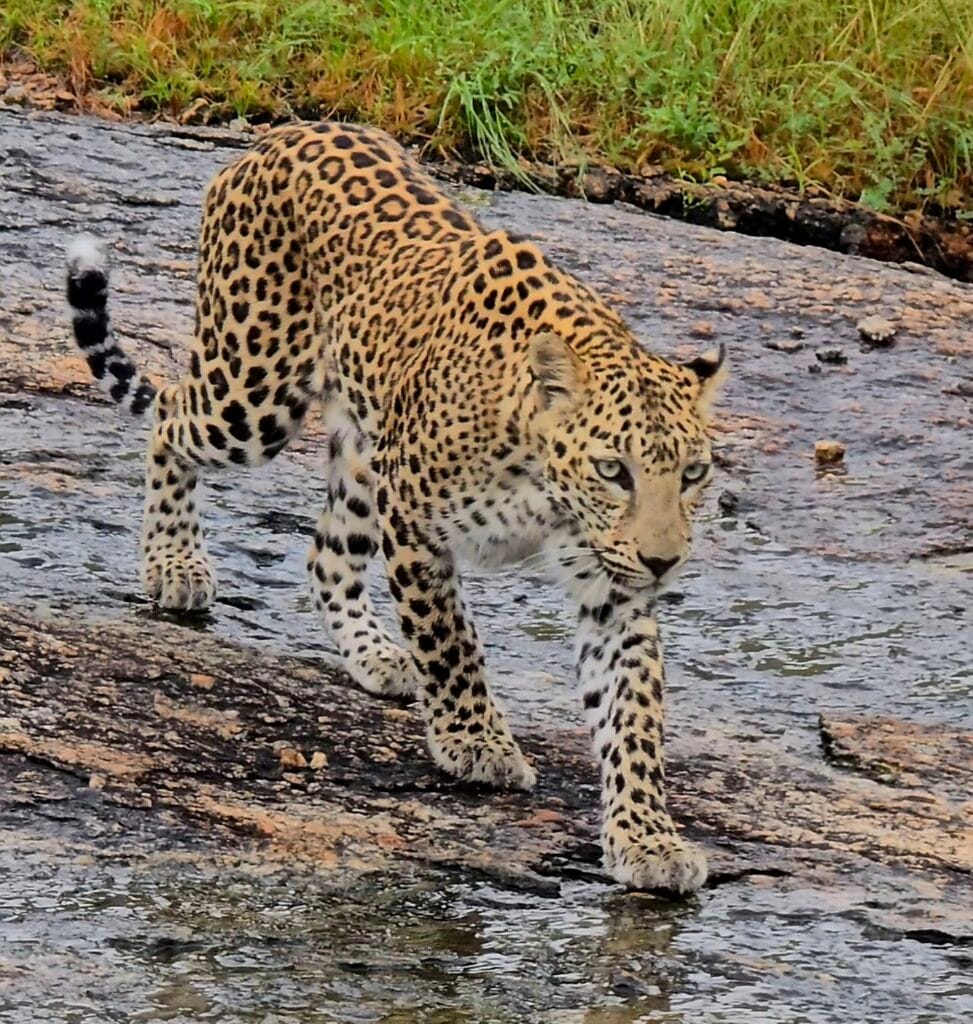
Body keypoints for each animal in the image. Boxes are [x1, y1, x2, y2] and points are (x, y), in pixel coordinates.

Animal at [65, 121, 727, 893]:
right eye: (613, 470)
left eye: (692, 474)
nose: (664, 561)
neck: (546, 487)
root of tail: (278, 135)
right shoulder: (414, 521)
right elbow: (450, 640)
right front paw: (476, 741)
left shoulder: (612, 587)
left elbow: (633, 714)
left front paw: (647, 838)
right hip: (252, 392)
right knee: (170, 420)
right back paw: (174, 564)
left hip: (357, 450)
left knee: (324, 555)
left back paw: (376, 654)